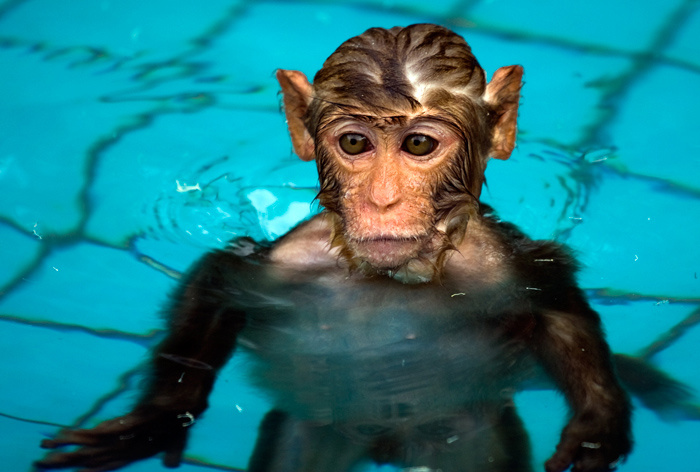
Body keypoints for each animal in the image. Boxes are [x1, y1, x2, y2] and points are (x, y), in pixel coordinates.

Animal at [35, 24, 636, 472]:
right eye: (354, 143)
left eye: (419, 144)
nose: (382, 199)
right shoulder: (285, 264)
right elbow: (217, 281)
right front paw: (159, 418)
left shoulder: (502, 264)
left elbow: (559, 310)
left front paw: (597, 423)